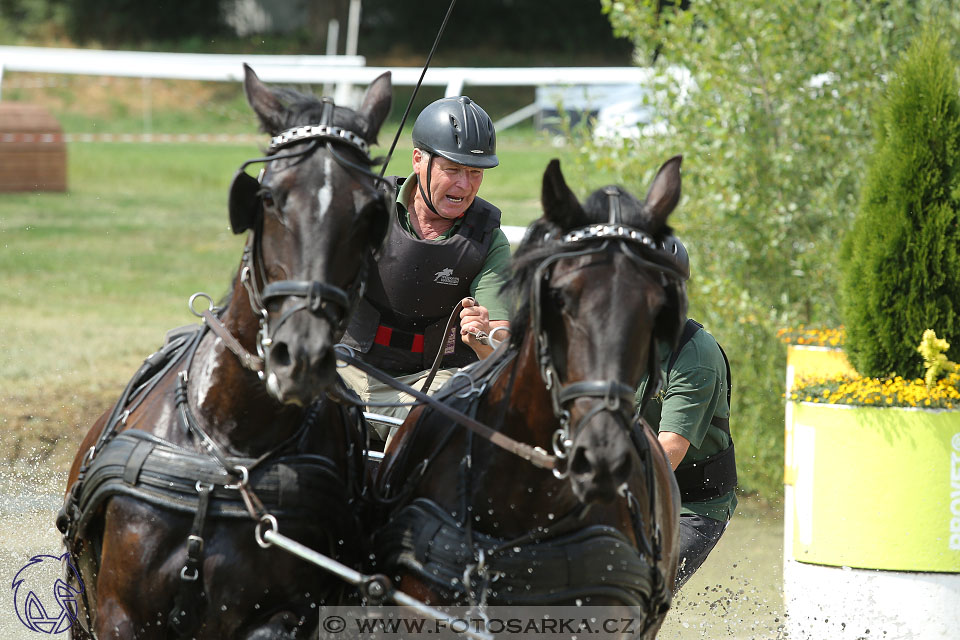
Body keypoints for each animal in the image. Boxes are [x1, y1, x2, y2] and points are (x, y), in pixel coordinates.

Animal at [58, 67, 394, 636]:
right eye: (269, 197)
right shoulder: (118, 611)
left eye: (371, 211)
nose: (301, 356)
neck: (228, 456)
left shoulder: (283, 613)